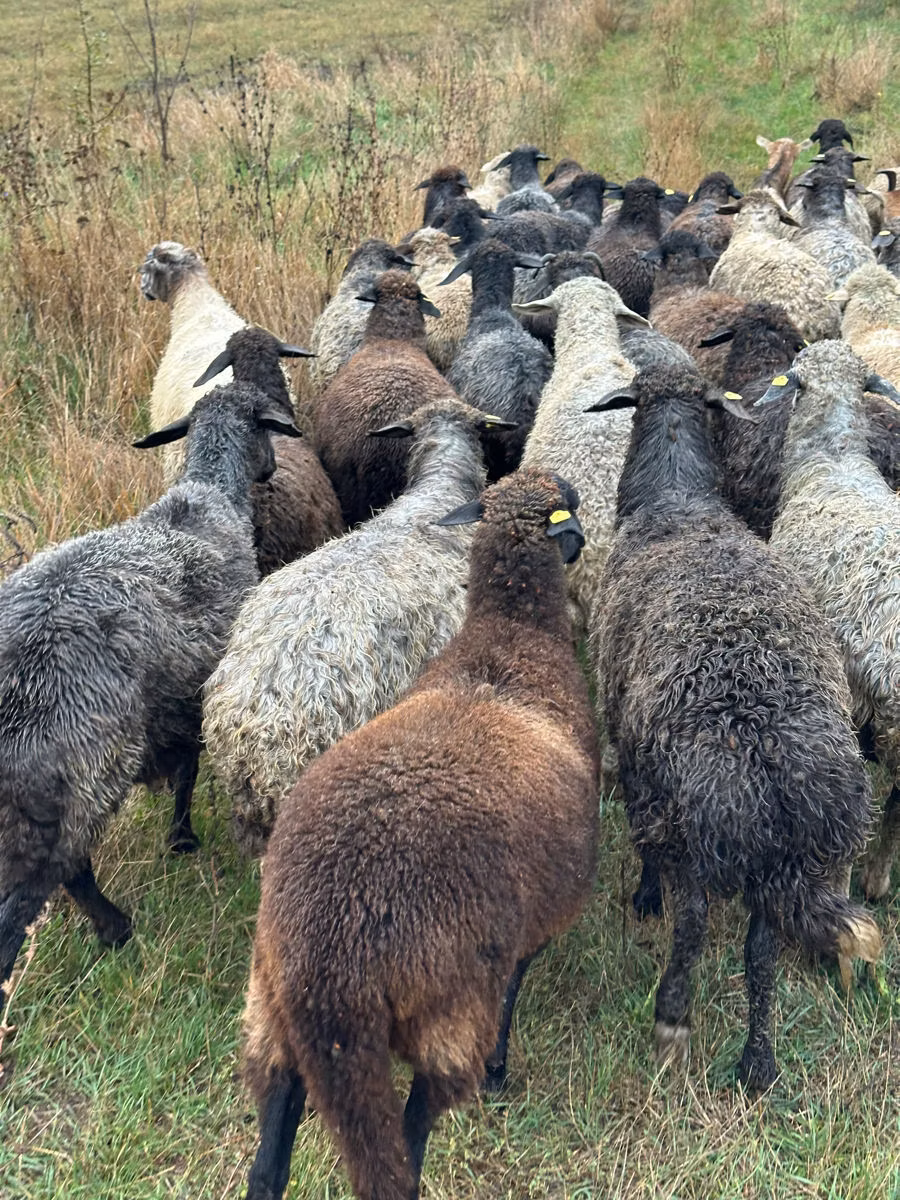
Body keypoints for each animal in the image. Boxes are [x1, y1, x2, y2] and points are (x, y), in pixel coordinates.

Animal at [0, 383, 301, 991]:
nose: (274, 469)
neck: (206, 496)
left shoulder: (173, 704)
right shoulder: (193, 696)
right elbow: (187, 773)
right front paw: (183, 839)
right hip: (82, 771)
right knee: (56, 879)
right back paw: (115, 929)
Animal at [240, 466, 598, 1200]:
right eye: (570, 511)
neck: (508, 638)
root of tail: (332, 957)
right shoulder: (526, 931)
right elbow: (515, 987)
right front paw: (499, 1072)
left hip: (274, 1011)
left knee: (269, 1160)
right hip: (445, 1016)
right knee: (404, 1156)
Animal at [587, 362, 882, 1088]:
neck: (677, 500)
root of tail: (766, 752)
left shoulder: (631, 754)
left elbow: (646, 857)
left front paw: (643, 899)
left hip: (695, 820)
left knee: (693, 921)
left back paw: (672, 1022)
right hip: (779, 858)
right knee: (762, 947)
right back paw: (759, 1062)